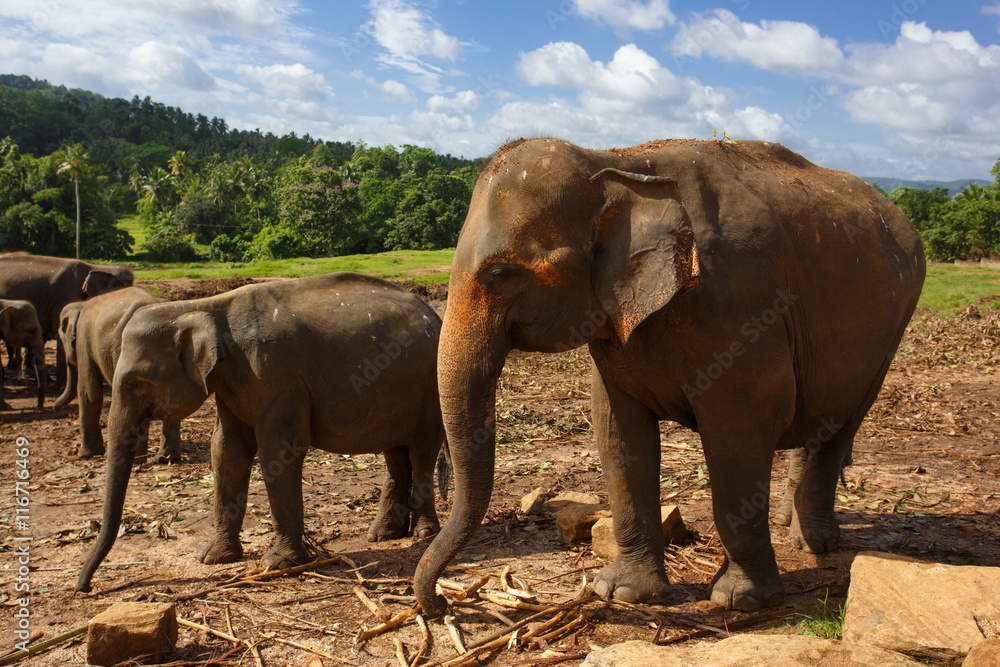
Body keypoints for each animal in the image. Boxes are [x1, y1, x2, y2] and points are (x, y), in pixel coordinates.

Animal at [54, 287, 181, 462]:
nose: (55, 408)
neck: (81, 304)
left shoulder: (83, 338)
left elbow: (89, 391)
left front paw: (86, 454)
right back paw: (163, 459)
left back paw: (138, 460)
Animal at [76, 272, 446, 592]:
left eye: (137, 383)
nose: (85, 587)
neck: (205, 307)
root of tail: (434, 314)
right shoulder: (230, 383)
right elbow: (227, 450)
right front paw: (213, 558)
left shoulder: (275, 375)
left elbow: (279, 453)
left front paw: (278, 564)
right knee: (396, 455)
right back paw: (383, 535)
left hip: (430, 388)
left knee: (421, 452)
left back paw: (424, 534)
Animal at [413, 138, 925, 615]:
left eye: (501, 273)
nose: (443, 604)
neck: (615, 162)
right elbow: (617, 431)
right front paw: (622, 592)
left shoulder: (740, 300)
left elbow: (743, 426)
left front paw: (740, 600)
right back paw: (791, 527)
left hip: (893, 327)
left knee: (839, 425)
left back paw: (814, 544)